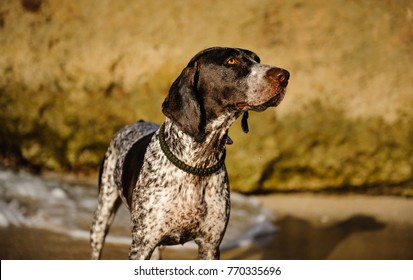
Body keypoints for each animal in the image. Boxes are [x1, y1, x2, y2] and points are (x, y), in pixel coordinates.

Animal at [90, 46, 290, 260]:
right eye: (231, 61)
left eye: (257, 59)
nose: (285, 75)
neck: (198, 160)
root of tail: (138, 122)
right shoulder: (142, 245)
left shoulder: (210, 246)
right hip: (103, 215)